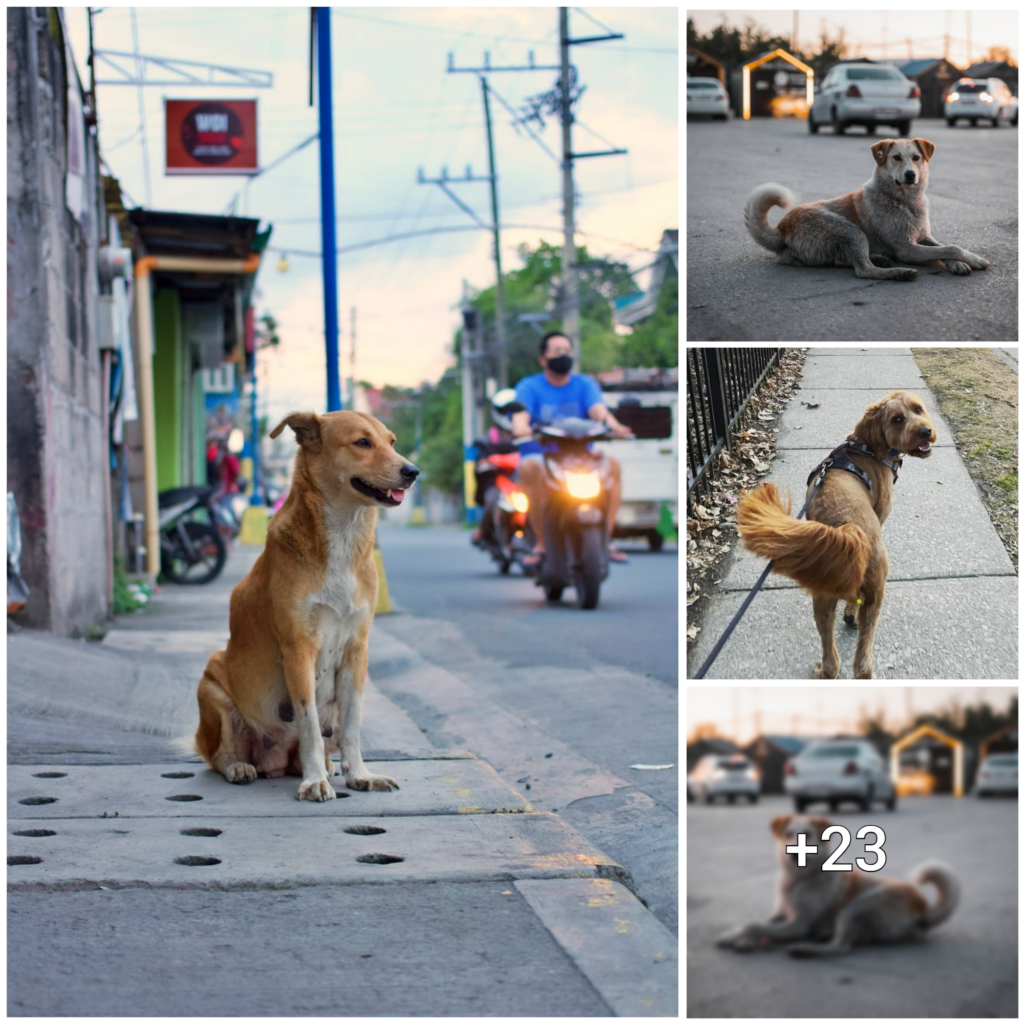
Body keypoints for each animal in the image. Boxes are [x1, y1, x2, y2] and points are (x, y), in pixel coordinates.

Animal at [190, 407, 417, 798]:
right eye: (362, 442)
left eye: (391, 442)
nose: (412, 472)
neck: (342, 535)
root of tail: (275, 762)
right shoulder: (299, 648)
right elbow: (307, 720)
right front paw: (315, 782)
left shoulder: (357, 649)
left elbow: (353, 723)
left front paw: (359, 774)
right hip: (212, 680)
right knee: (219, 754)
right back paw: (242, 767)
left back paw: (327, 765)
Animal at [716, 811, 954, 954]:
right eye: (788, 834)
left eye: (807, 835)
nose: (792, 854)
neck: (798, 880)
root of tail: (922, 907)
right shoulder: (780, 914)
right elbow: (755, 923)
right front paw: (736, 937)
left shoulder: (797, 924)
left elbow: (754, 924)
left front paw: (743, 938)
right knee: (854, 940)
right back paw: (825, 935)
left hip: (856, 906)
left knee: (841, 947)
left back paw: (805, 949)